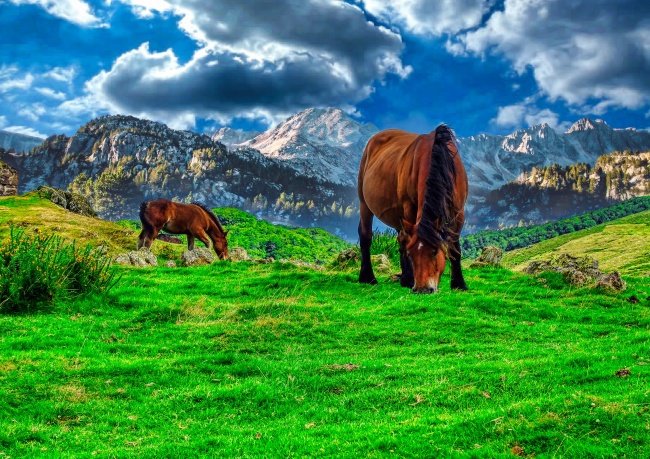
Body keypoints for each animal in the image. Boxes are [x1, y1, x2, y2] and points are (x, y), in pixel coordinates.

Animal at [354, 124, 466, 292]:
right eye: (412, 253)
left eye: (435, 251)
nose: (423, 289)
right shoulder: (409, 209)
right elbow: (407, 241)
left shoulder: (458, 213)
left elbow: (454, 248)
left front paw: (459, 284)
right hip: (364, 203)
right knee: (366, 235)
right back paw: (368, 277)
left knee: (400, 237)